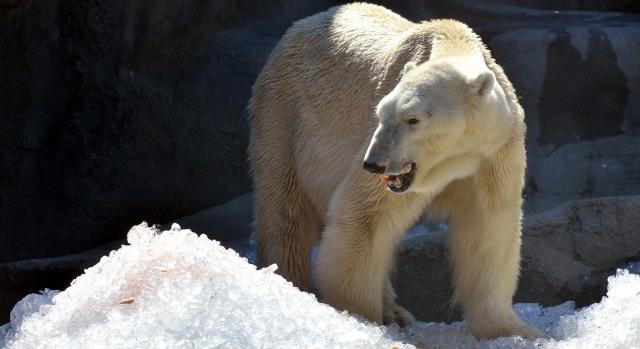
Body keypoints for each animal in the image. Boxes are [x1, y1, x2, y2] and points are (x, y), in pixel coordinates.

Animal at [248, 2, 544, 338]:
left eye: (413, 119)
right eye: (381, 114)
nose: (373, 163)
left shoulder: (493, 153)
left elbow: (489, 229)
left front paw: (514, 330)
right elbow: (364, 217)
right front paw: (360, 318)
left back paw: (395, 311)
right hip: (283, 115)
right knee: (285, 211)